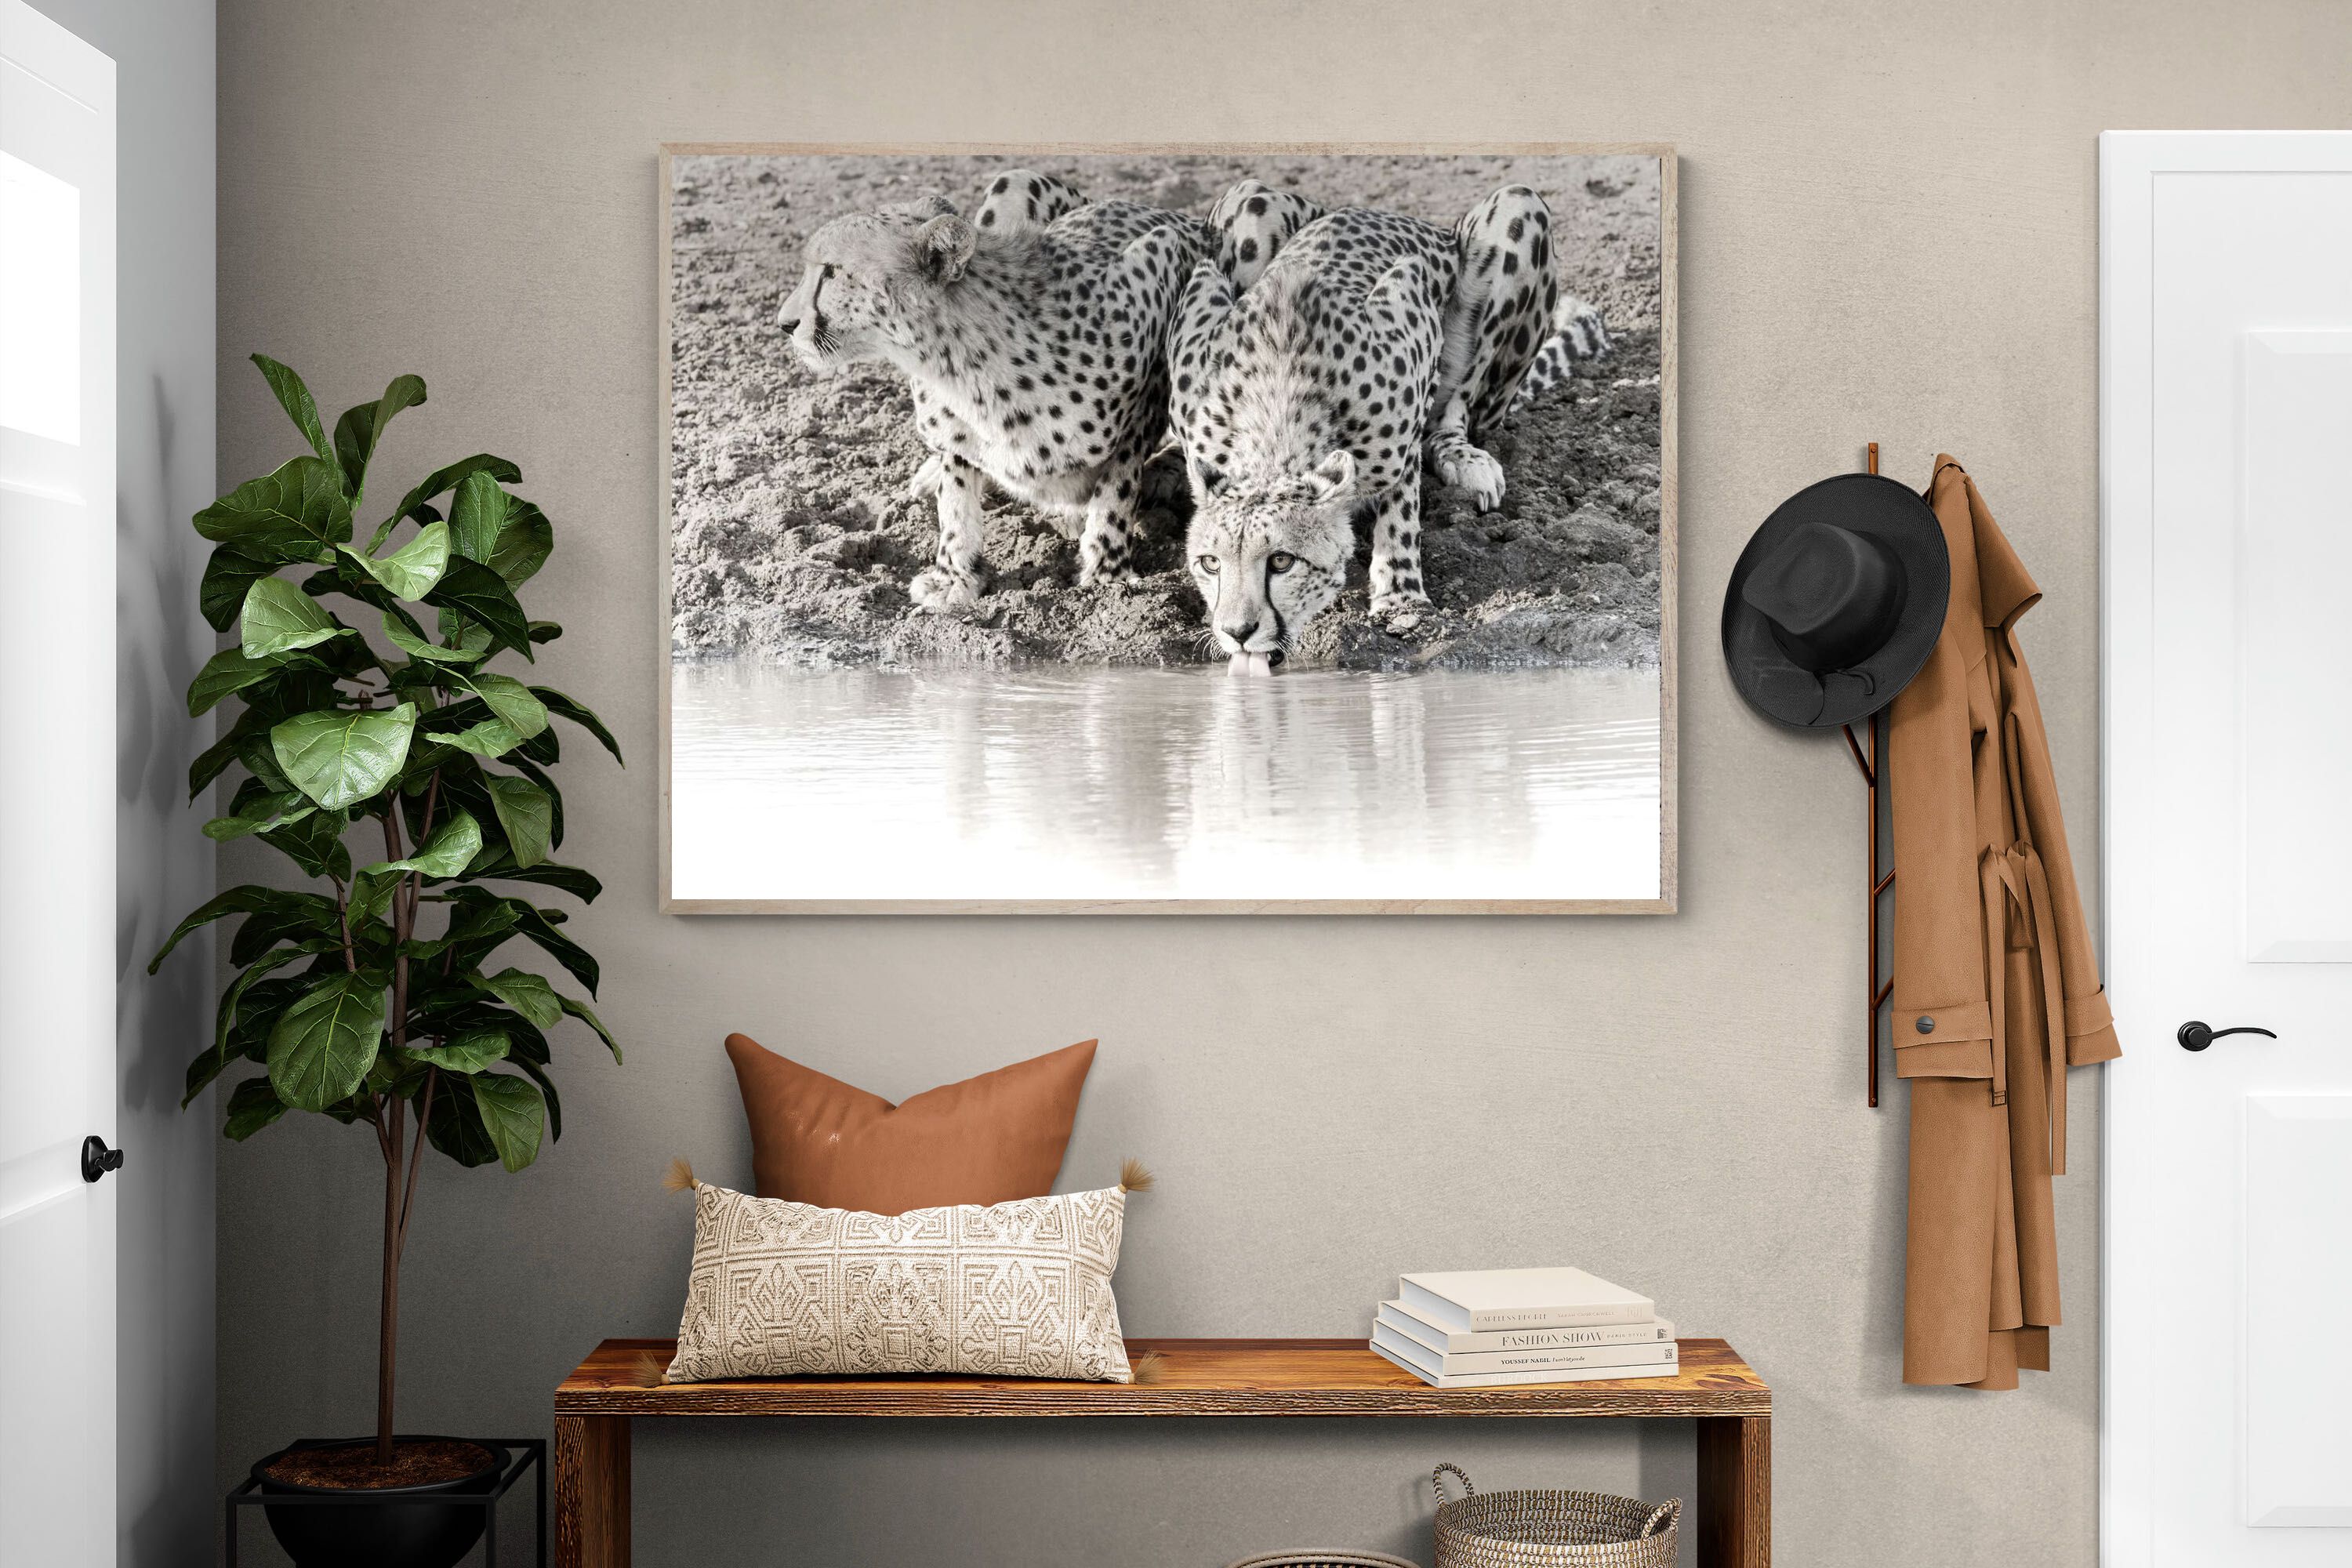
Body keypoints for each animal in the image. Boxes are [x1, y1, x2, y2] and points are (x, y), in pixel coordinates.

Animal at [775, 172, 1202, 609]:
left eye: (831, 272)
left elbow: (1119, 479)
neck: (958, 363)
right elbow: (955, 494)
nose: (784, 323)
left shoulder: (1168, 260)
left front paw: (1106, 573)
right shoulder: (955, 431)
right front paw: (953, 575)